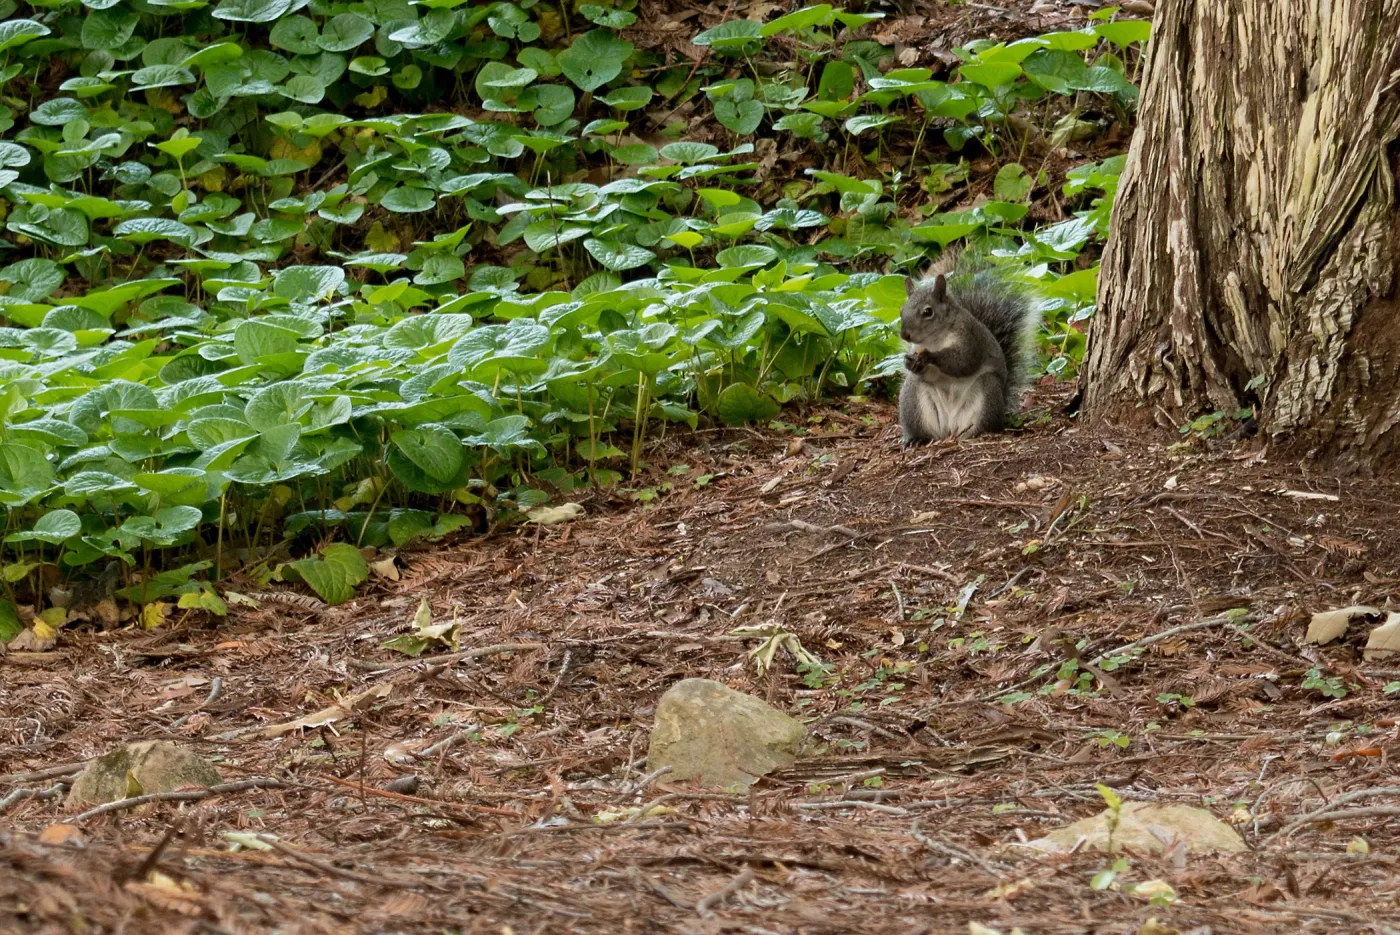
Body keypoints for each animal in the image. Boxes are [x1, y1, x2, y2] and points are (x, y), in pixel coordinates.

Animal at [897, 254, 1040, 445]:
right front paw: (909, 362)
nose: (905, 334)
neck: (935, 339)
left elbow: (963, 362)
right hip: (913, 400)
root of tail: (950, 427)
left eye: (928, 312)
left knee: (983, 424)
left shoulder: (970, 338)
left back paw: (979, 433)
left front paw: (930, 356)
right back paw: (915, 438)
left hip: (988, 389)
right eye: (901, 310)